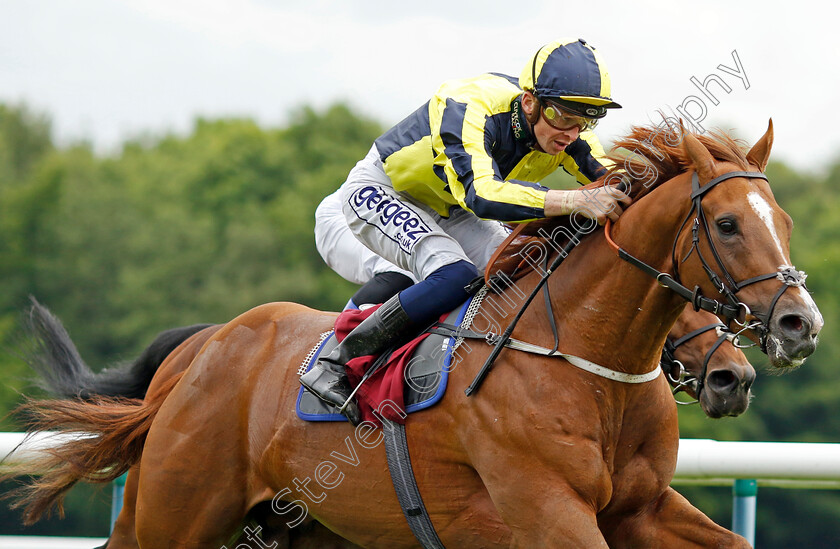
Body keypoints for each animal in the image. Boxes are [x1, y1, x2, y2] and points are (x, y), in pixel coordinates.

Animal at [6, 122, 820, 544]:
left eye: (783, 220)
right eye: (727, 224)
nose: (799, 324)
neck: (586, 363)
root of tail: (205, 347)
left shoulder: (643, 510)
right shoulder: (546, 511)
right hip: (175, 508)